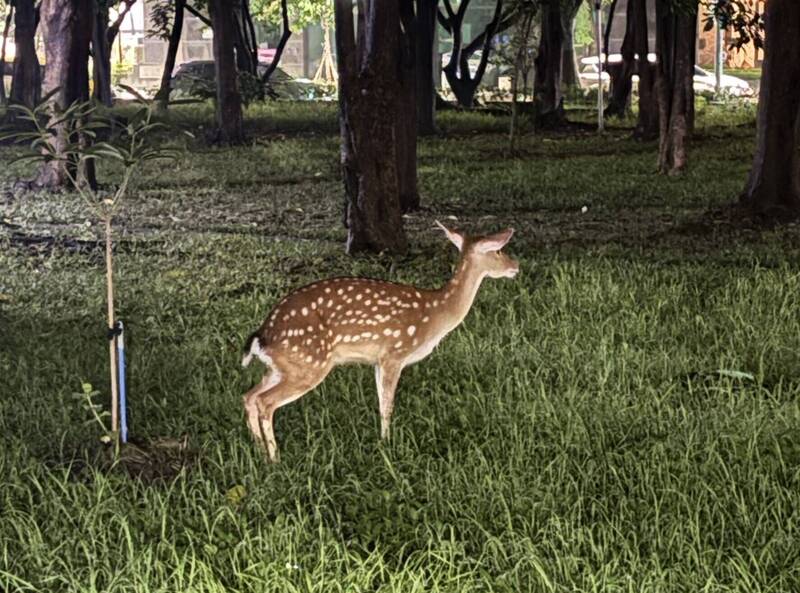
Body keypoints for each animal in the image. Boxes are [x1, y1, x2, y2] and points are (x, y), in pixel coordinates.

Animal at [240, 221, 519, 462]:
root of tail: (262, 335)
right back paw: (275, 458)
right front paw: (388, 444)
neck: (435, 314)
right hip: (309, 363)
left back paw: (259, 451)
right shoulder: (394, 353)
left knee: (249, 396)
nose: (515, 265)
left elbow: (380, 401)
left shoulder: (377, 360)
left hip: (284, 366)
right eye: (498, 250)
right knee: (265, 402)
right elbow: (387, 405)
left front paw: (383, 441)